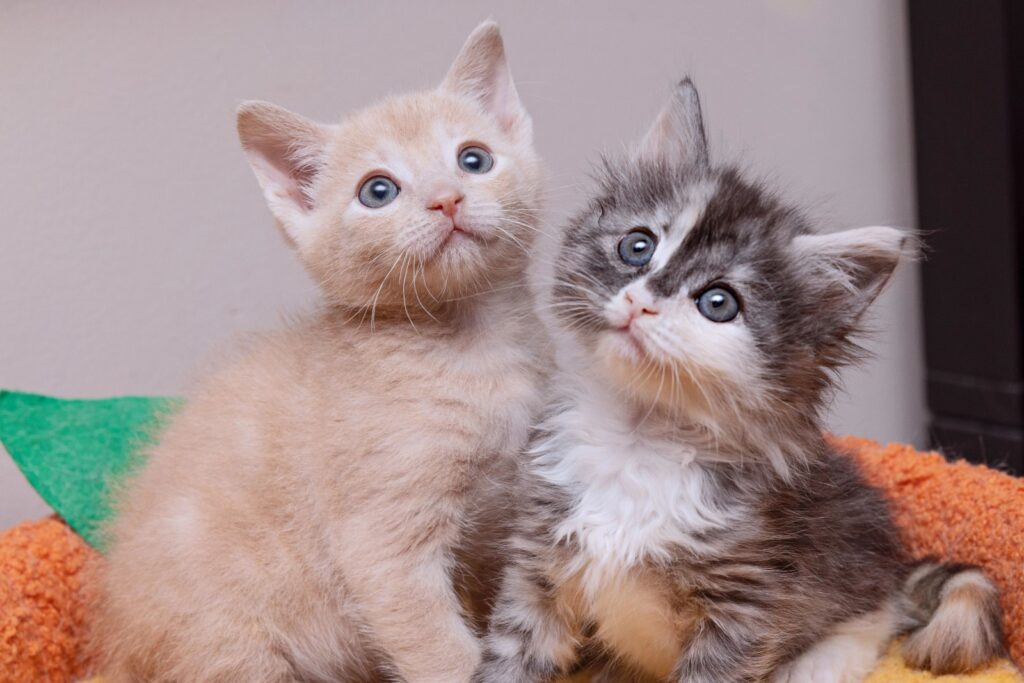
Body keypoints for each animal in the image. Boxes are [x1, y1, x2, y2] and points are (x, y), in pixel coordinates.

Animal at [90, 22, 548, 683]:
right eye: (377, 191)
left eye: (474, 159)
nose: (446, 199)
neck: (473, 348)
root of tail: (114, 644)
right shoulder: (382, 545)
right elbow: (441, 651)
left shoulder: (500, 526)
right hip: (232, 643)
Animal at [473, 79, 1006, 683]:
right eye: (637, 246)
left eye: (718, 303)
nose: (640, 303)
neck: (639, 440)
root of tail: (893, 578)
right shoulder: (537, 564)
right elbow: (509, 659)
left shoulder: (744, 605)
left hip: (843, 639)